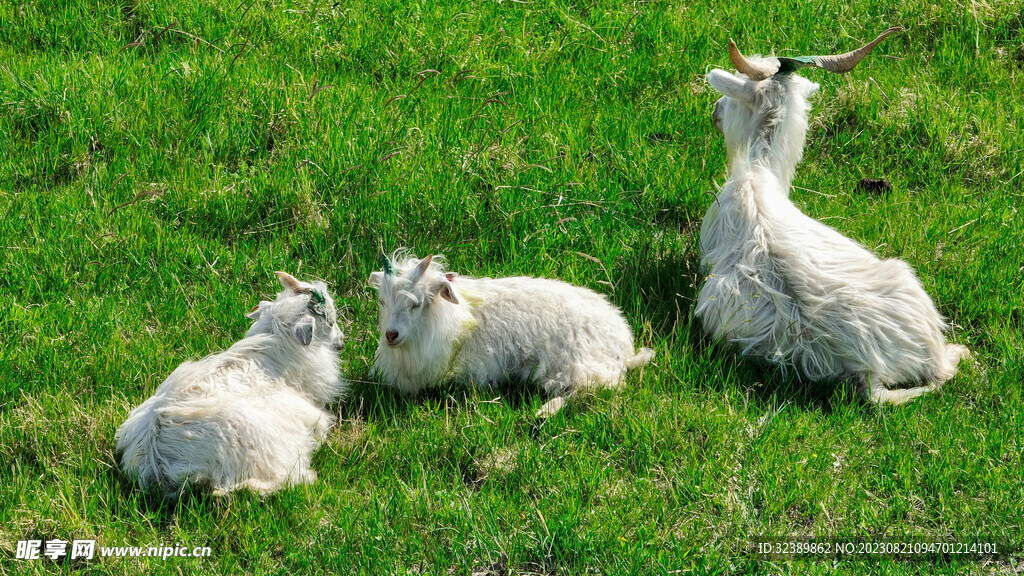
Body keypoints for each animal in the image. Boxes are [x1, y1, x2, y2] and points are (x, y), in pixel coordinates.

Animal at [370, 250, 655, 412]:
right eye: (382, 302)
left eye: (416, 304)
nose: (391, 335)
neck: (456, 320)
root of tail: (625, 347)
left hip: (581, 363)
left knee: (593, 388)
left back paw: (544, 412)